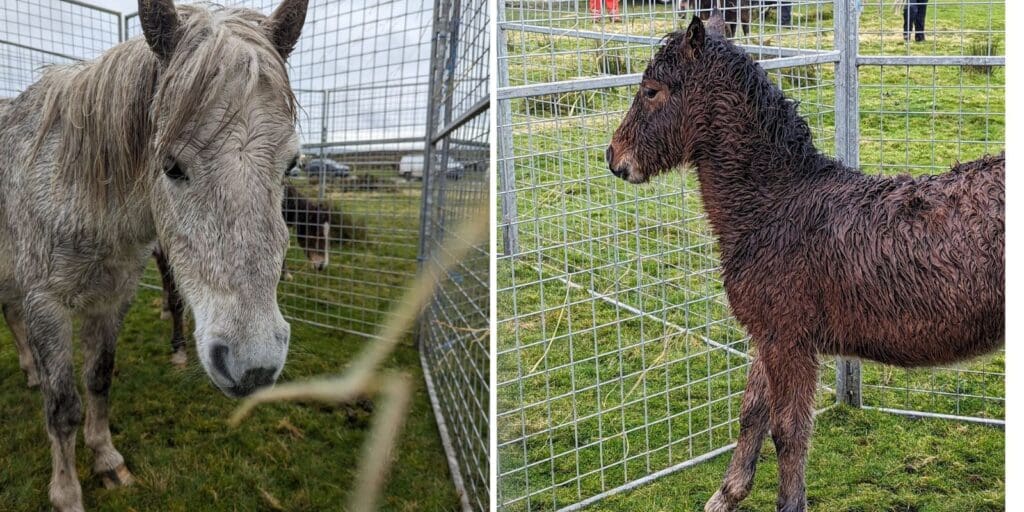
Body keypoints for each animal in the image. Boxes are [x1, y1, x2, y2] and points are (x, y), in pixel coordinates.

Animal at [0, 0, 308, 509]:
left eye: (291, 165)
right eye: (171, 165)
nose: (254, 366)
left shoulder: (113, 298)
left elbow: (99, 379)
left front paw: (107, 460)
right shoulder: (46, 304)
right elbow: (62, 407)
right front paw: (66, 492)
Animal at [606, 16, 1003, 512]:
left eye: (652, 91)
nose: (614, 157)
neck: (774, 205)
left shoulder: (789, 340)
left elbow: (788, 431)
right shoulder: (769, 333)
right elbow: (752, 412)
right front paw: (727, 494)